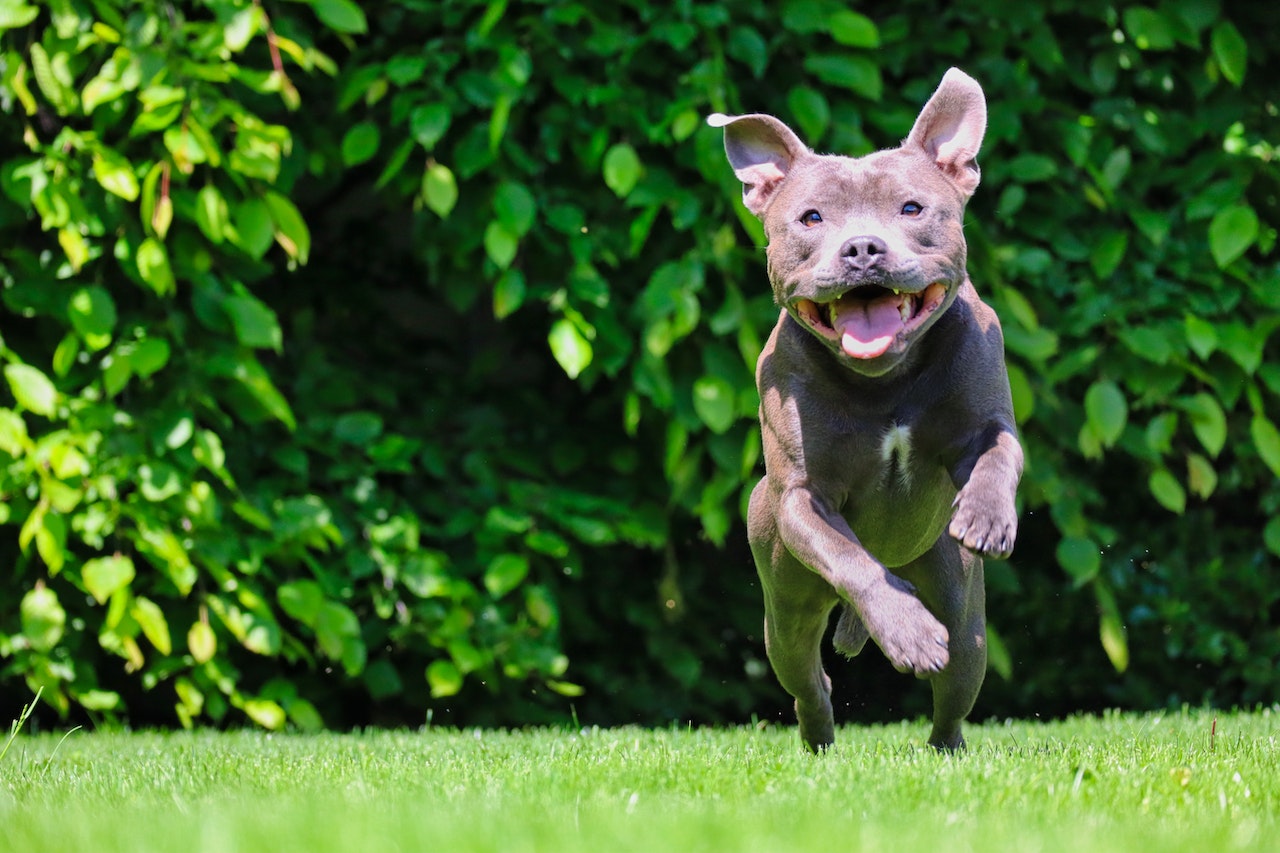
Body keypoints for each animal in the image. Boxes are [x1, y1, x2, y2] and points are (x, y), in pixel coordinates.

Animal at [711, 69, 1018, 747]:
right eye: (810, 217)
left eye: (912, 208)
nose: (862, 249)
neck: (883, 379)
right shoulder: (803, 499)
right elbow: (851, 558)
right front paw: (907, 632)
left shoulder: (987, 419)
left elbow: (997, 455)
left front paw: (985, 516)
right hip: (785, 610)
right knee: (809, 681)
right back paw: (821, 739)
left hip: (964, 613)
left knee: (954, 690)